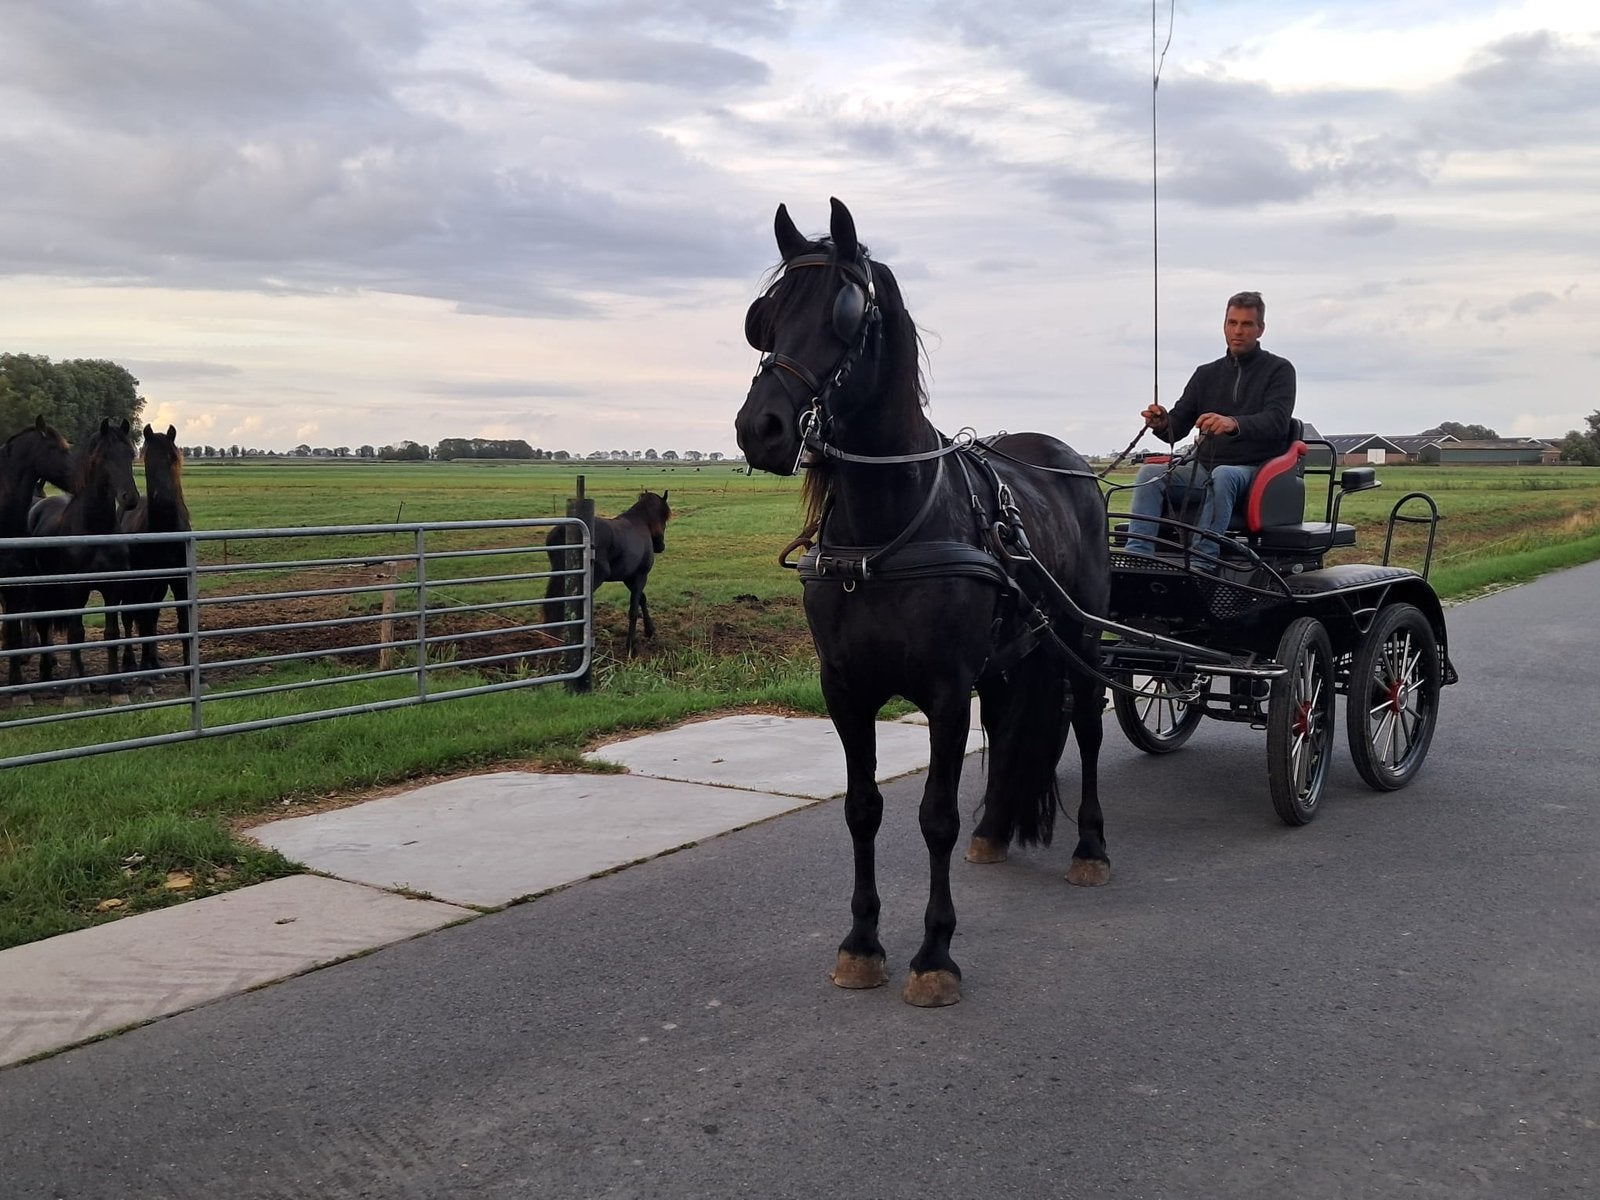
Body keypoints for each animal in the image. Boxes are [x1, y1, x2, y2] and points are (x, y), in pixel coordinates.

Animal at [25, 417, 140, 701]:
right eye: (104, 456)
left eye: (130, 454)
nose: (130, 498)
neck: (94, 529)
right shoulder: (75, 589)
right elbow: (76, 633)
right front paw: (74, 690)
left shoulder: (113, 589)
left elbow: (112, 634)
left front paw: (116, 688)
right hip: (43, 589)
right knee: (43, 626)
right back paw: (49, 674)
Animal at [110, 424, 193, 693]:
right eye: (146, 459)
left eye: (172, 457)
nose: (163, 498)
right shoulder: (143, 582)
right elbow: (143, 622)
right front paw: (145, 680)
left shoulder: (179, 581)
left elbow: (182, 624)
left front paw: (192, 679)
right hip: (133, 586)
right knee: (129, 618)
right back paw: (132, 666)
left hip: (158, 587)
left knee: (151, 616)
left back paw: (155, 664)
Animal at [543, 490, 672, 655]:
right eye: (664, 517)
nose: (660, 546)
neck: (641, 524)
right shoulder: (640, 576)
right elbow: (633, 610)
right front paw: (631, 646)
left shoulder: (628, 577)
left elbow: (642, 599)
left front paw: (649, 630)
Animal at [734, 199, 1111, 1007]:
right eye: (764, 317)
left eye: (846, 313)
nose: (760, 428)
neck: (887, 528)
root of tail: (1068, 460)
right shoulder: (845, 688)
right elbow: (862, 811)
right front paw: (861, 942)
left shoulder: (944, 689)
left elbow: (934, 815)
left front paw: (934, 953)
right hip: (1007, 657)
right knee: (1007, 726)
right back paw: (994, 830)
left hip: (1081, 638)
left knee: (1090, 729)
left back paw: (1092, 846)